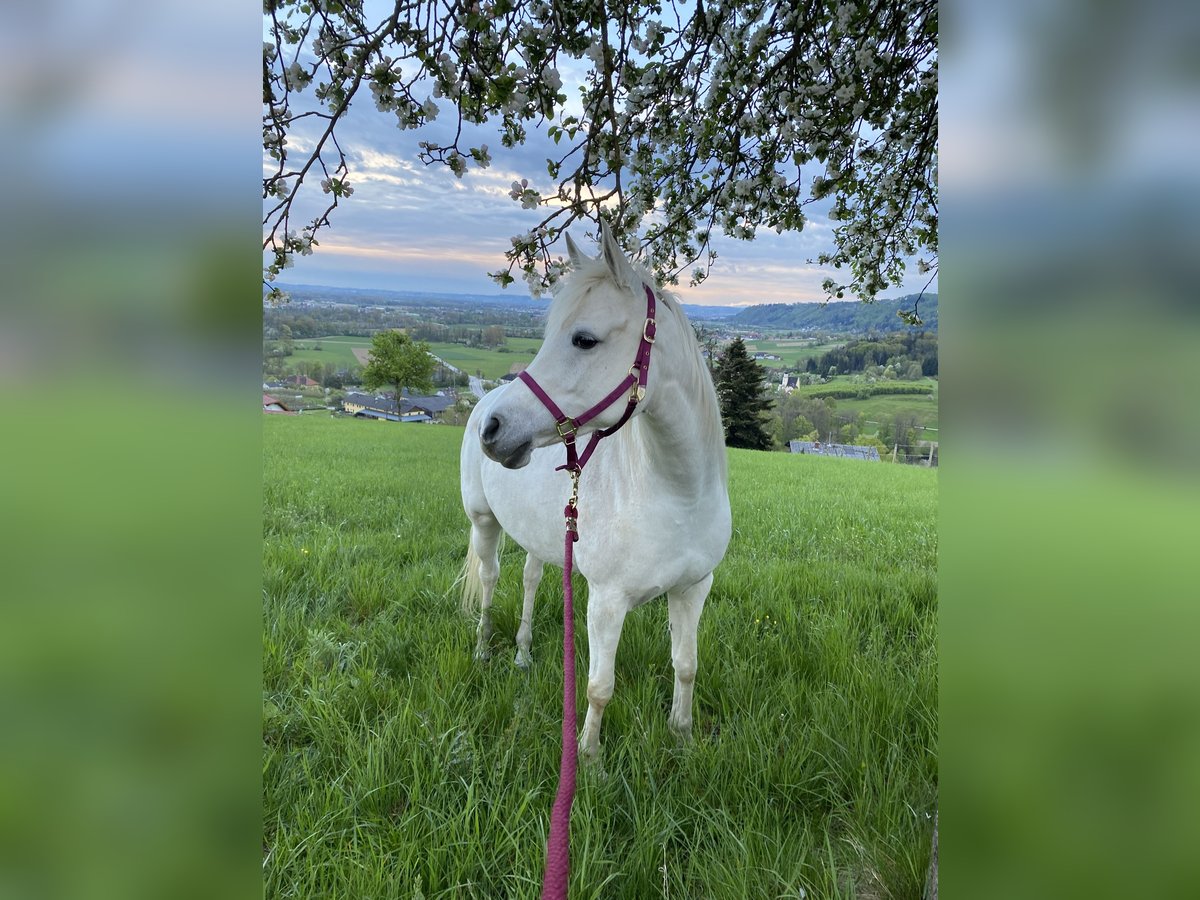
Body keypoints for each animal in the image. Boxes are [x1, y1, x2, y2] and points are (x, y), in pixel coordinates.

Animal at [458, 225, 729, 763]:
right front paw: (589, 758)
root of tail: (484, 399)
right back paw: (482, 649)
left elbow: (686, 666)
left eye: (584, 339)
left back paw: (522, 655)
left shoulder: (693, 589)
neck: (679, 496)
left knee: (529, 580)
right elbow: (599, 687)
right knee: (491, 579)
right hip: (484, 523)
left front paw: (683, 737)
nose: (494, 430)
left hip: (543, 539)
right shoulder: (607, 601)